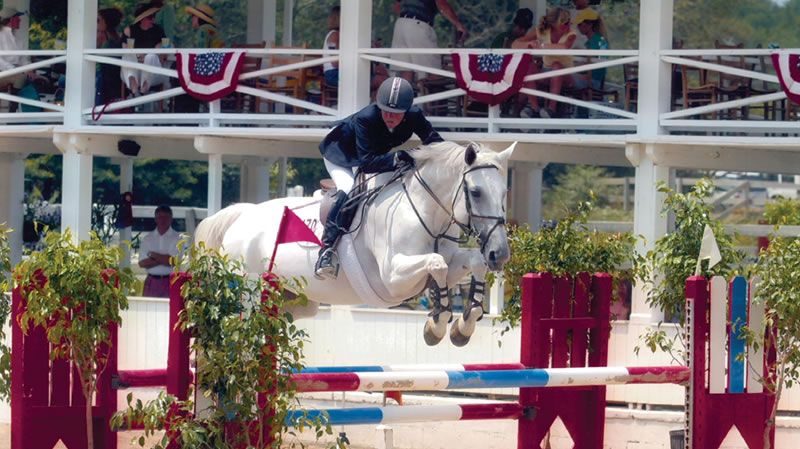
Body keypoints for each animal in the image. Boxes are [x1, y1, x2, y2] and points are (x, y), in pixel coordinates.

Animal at [197, 142, 516, 344]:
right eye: (475, 192)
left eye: (504, 193)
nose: (499, 254)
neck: (425, 211)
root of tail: (241, 215)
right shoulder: (393, 279)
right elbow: (436, 265)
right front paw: (436, 325)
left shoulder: (449, 263)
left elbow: (470, 262)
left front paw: (464, 324)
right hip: (249, 289)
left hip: (296, 300)